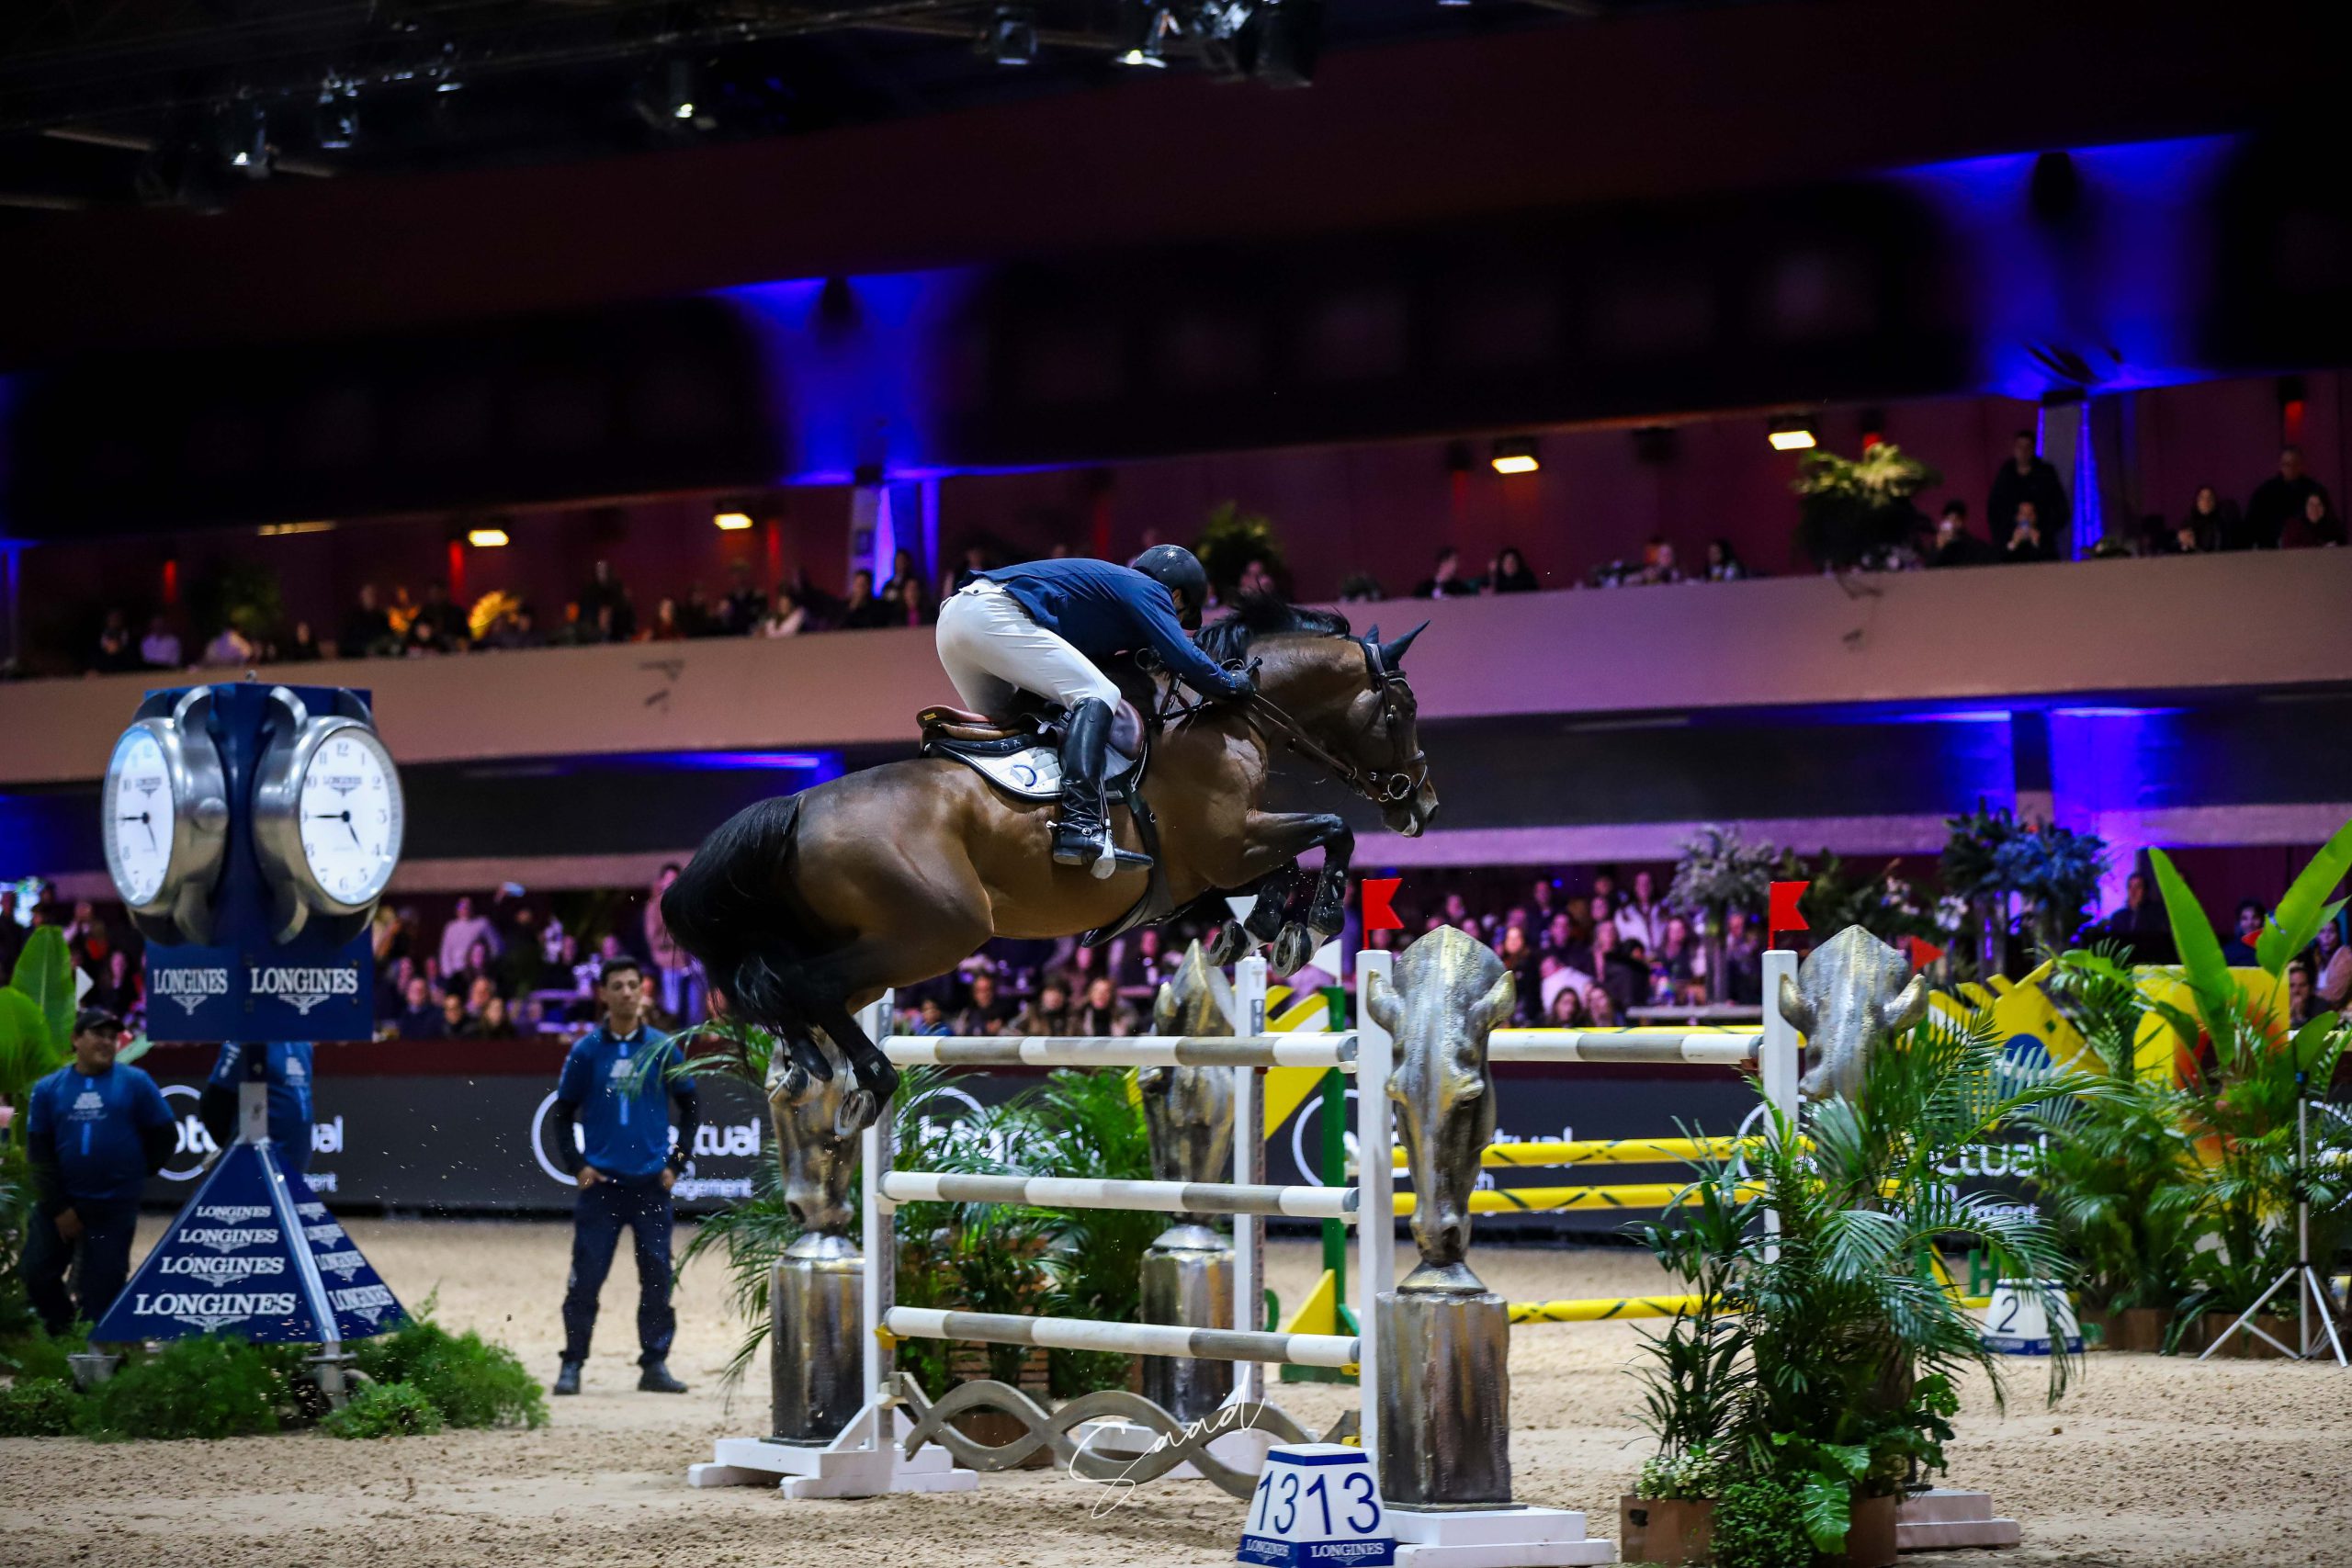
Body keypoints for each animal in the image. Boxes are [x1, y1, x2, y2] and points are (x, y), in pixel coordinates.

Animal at [658, 597, 1430, 1128]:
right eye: (1402, 707)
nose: (1421, 801)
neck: (1224, 716)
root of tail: (797, 805)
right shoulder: (1232, 840)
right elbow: (1333, 830)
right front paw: (1311, 923)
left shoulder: (1199, 871)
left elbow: (1261, 883)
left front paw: (1266, 924)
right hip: (937, 931)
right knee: (804, 984)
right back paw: (867, 1079)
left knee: (775, 982)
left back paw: (805, 1066)